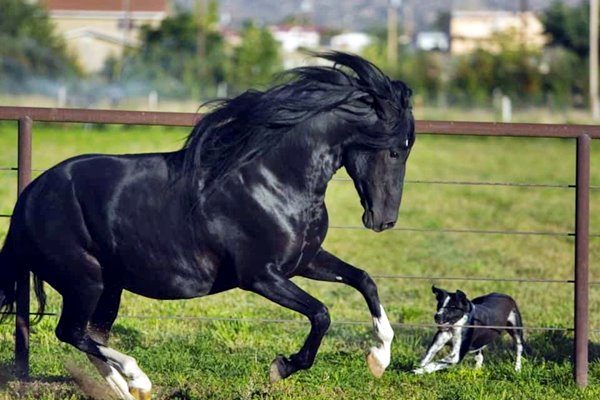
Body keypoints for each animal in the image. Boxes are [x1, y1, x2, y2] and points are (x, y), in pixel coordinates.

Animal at [0, 53, 412, 400]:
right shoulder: (260, 276)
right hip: (86, 280)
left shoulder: (304, 261)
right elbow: (321, 314)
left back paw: (126, 389)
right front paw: (282, 366)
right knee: (71, 331)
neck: (272, 179)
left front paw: (380, 358)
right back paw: (138, 378)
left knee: (89, 334)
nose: (384, 220)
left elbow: (363, 280)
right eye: (395, 150)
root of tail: (30, 196)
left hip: (109, 285)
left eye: (407, 148)